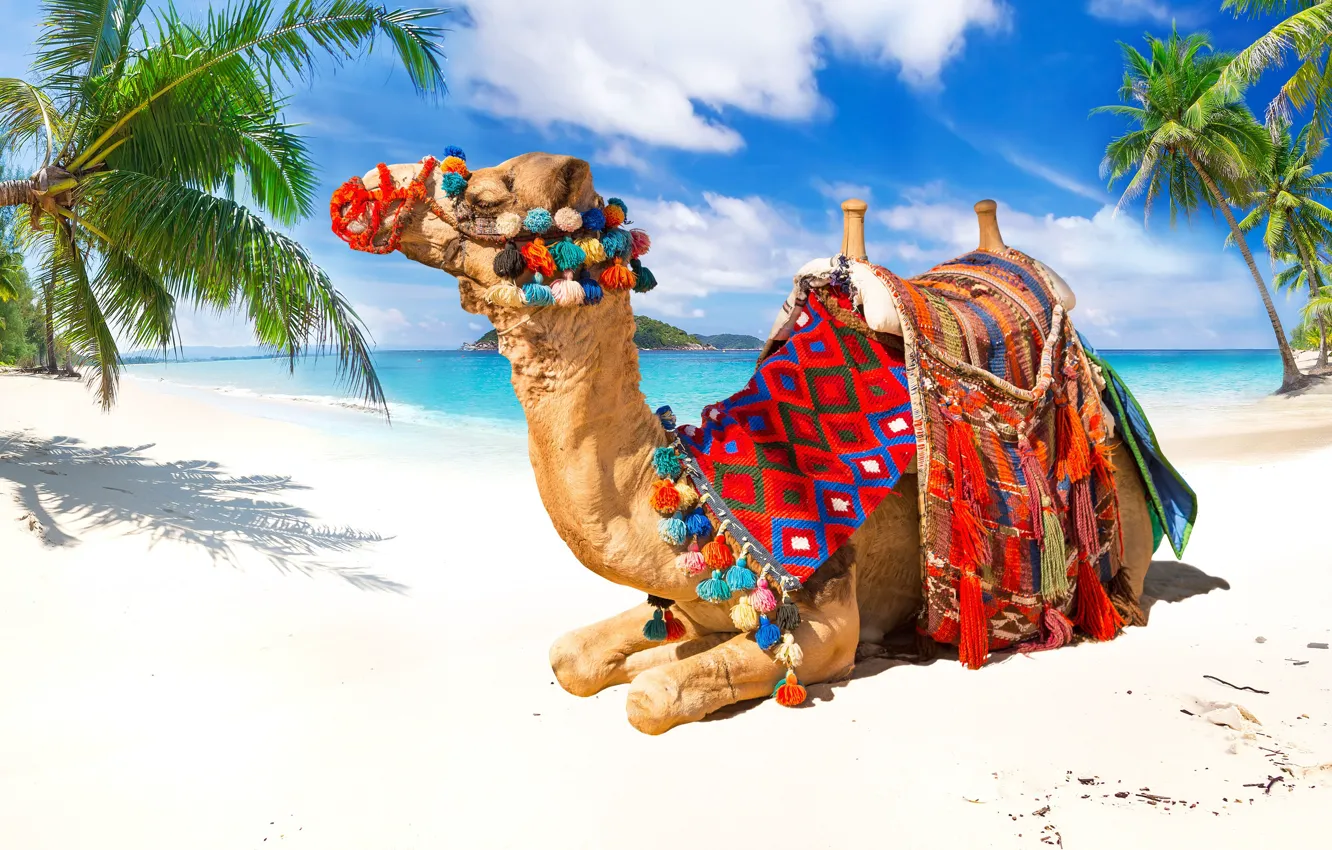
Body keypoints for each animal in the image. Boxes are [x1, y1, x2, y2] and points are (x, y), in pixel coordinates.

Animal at [334, 152, 1156, 735]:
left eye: (488, 190)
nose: (372, 188)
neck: (700, 495)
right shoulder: (687, 596)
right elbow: (572, 657)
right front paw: (642, 652)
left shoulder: (824, 620)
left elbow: (652, 692)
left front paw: (657, 667)